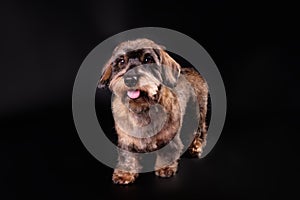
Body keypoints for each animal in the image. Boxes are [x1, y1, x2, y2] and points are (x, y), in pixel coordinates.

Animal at [98, 38, 209, 184]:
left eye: (147, 59)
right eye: (121, 61)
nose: (130, 79)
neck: (142, 107)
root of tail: (192, 71)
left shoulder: (169, 136)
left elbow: (168, 151)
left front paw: (165, 168)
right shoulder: (126, 139)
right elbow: (127, 155)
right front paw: (125, 173)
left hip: (196, 114)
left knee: (198, 132)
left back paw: (196, 147)